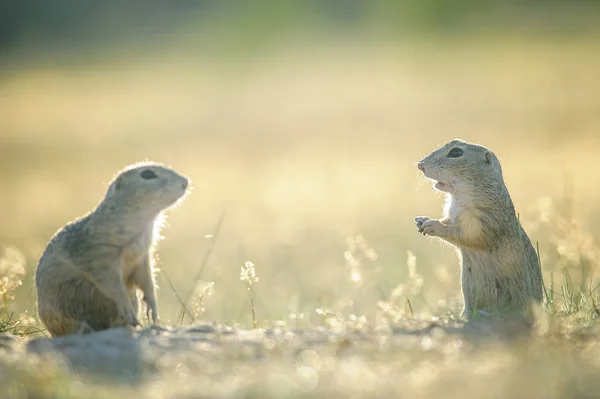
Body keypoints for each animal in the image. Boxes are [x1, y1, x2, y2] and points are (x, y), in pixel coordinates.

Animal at [35, 161, 190, 336]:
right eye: (147, 174)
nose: (186, 182)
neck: (144, 223)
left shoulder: (143, 256)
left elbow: (147, 279)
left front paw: (153, 309)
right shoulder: (100, 256)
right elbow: (112, 284)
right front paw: (127, 308)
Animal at [414, 139, 540, 320]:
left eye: (456, 152)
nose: (420, 165)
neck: (459, 196)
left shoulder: (483, 220)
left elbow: (468, 236)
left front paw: (432, 225)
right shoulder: (452, 215)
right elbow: (448, 221)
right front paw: (422, 220)